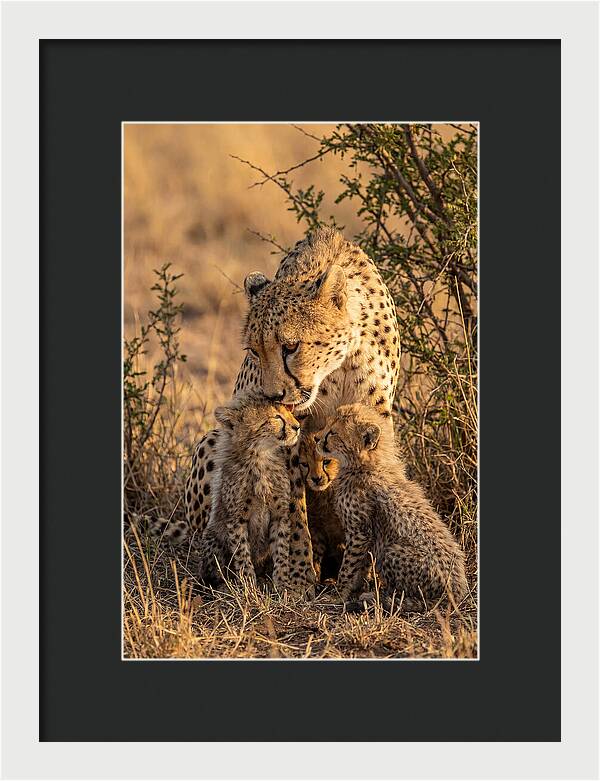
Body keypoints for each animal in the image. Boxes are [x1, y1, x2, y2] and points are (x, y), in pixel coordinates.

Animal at [197, 390, 300, 590]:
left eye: (288, 412)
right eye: (276, 417)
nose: (297, 426)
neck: (260, 458)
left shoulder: (280, 515)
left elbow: (281, 550)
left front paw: (282, 584)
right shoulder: (236, 519)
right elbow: (242, 553)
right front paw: (248, 586)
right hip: (212, 537)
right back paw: (224, 585)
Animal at [317, 403, 468, 612]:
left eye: (333, 432)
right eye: (327, 426)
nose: (316, 438)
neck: (365, 464)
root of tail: (457, 592)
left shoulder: (359, 532)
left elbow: (349, 566)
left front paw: (338, 594)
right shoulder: (366, 535)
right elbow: (361, 565)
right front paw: (354, 589)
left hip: (392, 551)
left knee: (413, 596)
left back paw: (379, 597)